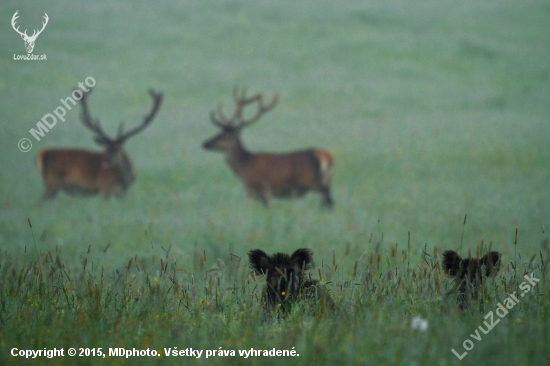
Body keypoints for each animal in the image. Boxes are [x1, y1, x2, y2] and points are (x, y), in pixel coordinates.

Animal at [203, 88, 332, 207]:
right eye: (218, 133)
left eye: (225, 136)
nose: (205, 143)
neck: (243, 165)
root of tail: (325, 156)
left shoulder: (257, 188)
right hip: (325, 179)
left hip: (308, 179)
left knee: (327, 195)